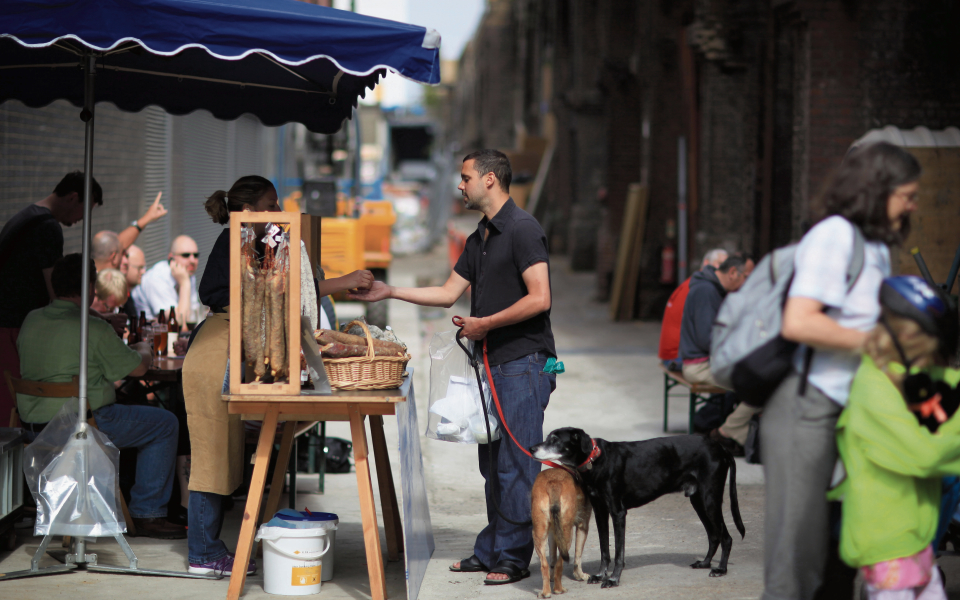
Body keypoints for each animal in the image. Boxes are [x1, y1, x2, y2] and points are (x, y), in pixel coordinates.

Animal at [532, 468, 592, 596]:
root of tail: (553, 483)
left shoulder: (553, 533)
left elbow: (552, 558)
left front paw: (552, 576)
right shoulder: (583, 525)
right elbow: (578, 556)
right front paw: (580, 575)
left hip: (539, 533)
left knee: (544, 564)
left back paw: (546, 592)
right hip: (566, 535)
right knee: (560, 564)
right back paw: (558, 589)